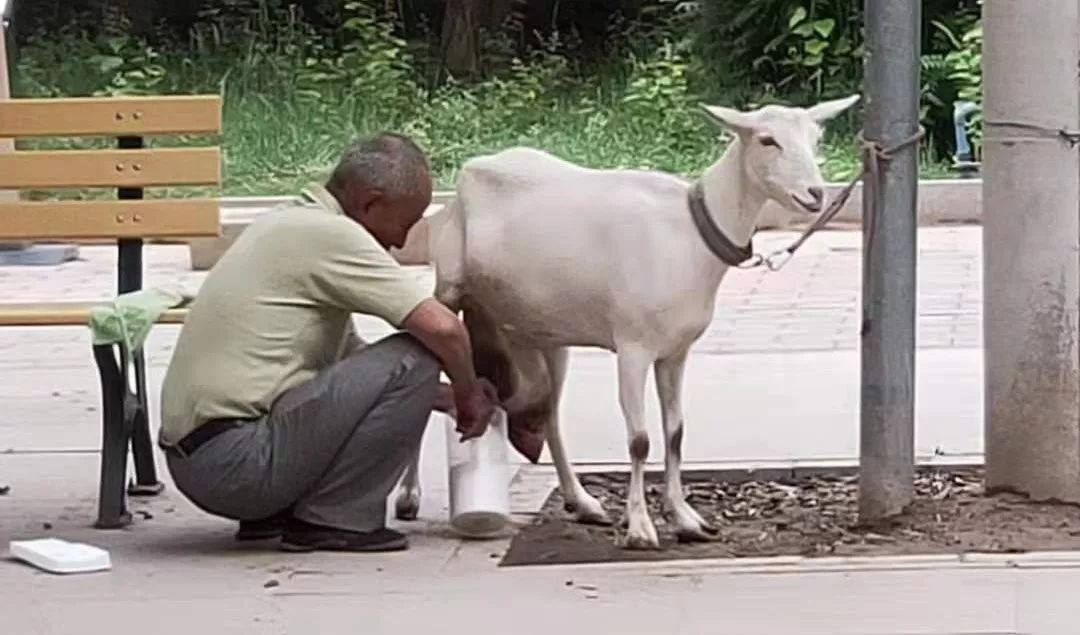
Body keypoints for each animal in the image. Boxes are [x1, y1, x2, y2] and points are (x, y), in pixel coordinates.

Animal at [393, 95, 855, 550]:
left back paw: (582, 503)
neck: (691, 235)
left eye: (816, 138)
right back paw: (408, 498)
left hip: (540, 329)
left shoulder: (675, 351)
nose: (815, 194)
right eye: (766, 139)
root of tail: (470, 174)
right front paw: (641, 529)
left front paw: (686, 519)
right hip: (448, 287)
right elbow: (639, 440)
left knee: (548, 408)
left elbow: (675, 432)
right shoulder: (633, 346)